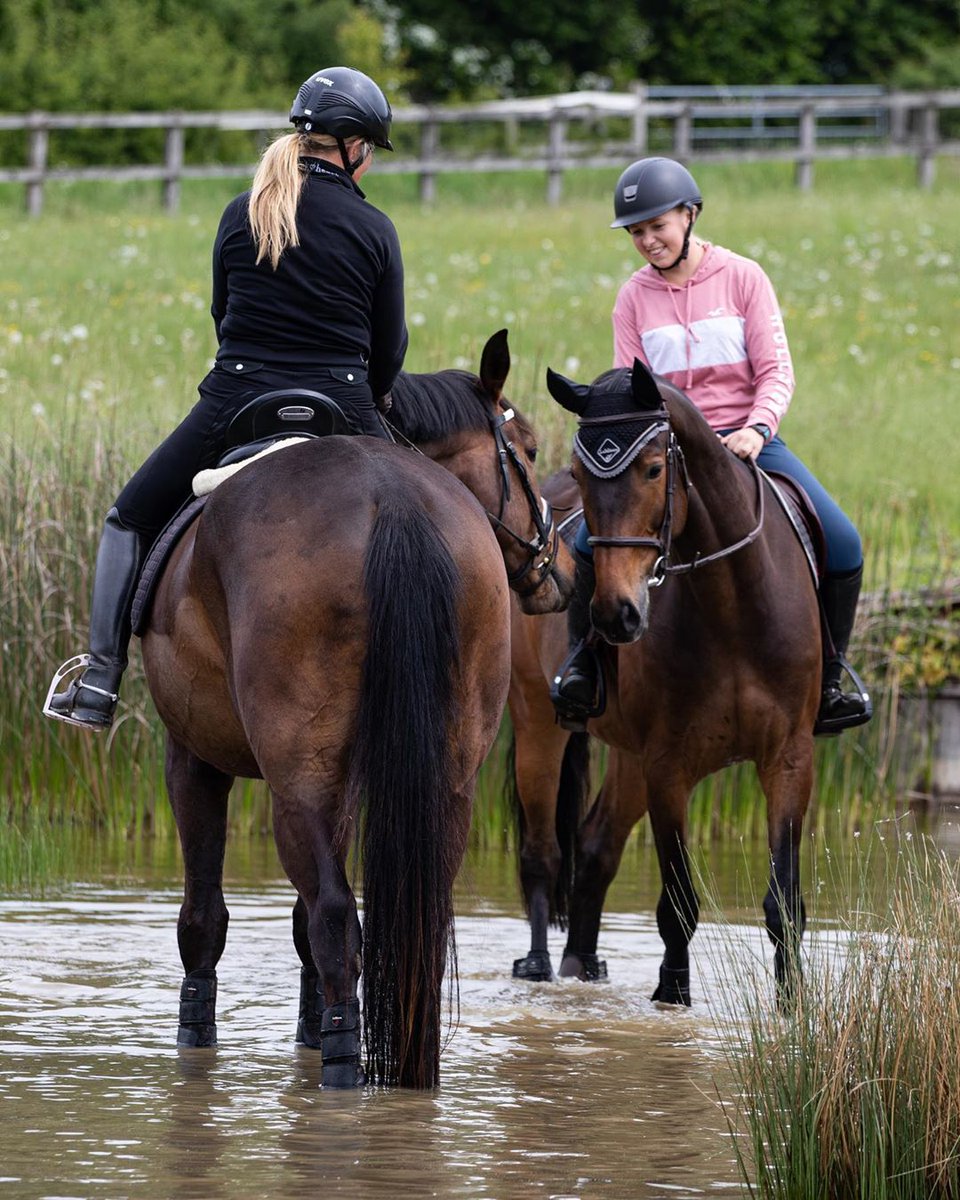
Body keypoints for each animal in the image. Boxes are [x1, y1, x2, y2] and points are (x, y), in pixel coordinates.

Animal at [139, 330, 573, 1089]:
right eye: (528, 446)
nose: (564, 571)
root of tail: (390, 495)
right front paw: (307, 1032)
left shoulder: (191, 757)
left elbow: (204, 920)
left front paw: (199, 1037)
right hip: (443, 777)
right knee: (410, 914)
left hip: (296, 781)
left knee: (336, 917)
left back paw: (343, 1067)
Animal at [507, 359, 821, 1006]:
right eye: (584, 472)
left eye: (654, 469)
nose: (615, 616)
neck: (733, 604)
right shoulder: (668, 766)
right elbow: (676, 902)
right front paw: (672, 995)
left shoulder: (789, 758)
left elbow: (784, 901)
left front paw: (793, 1004)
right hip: (538, 726)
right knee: (543, 854)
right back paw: (540, 966)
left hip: (627, 756)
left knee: (596, 847)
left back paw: (582, 963)